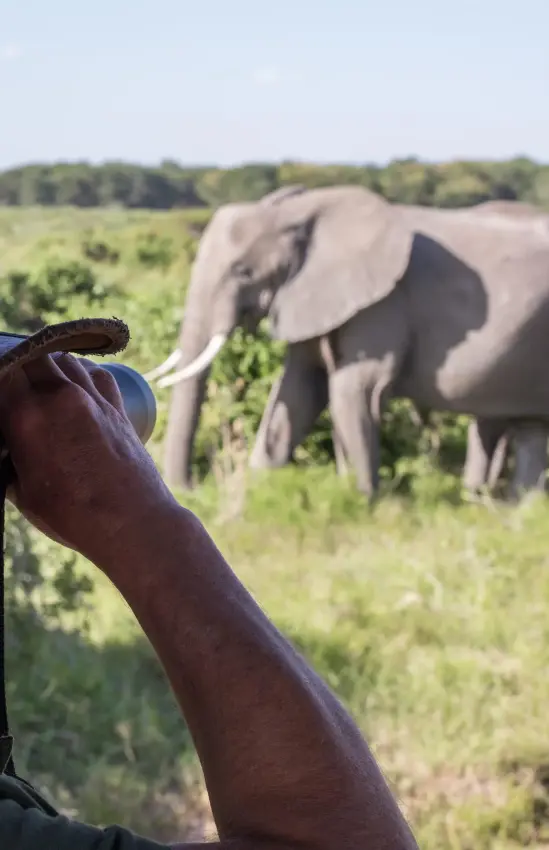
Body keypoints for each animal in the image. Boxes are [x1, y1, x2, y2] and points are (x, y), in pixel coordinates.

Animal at [145, 184, 549, 498]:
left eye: (243, 272)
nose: (192, 488)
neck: (300, 213)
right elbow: (299, 388)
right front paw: (260, 488)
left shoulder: (385, 303)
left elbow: (354, 389)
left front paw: (363, 501)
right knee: (530, 429)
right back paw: (512, 508)